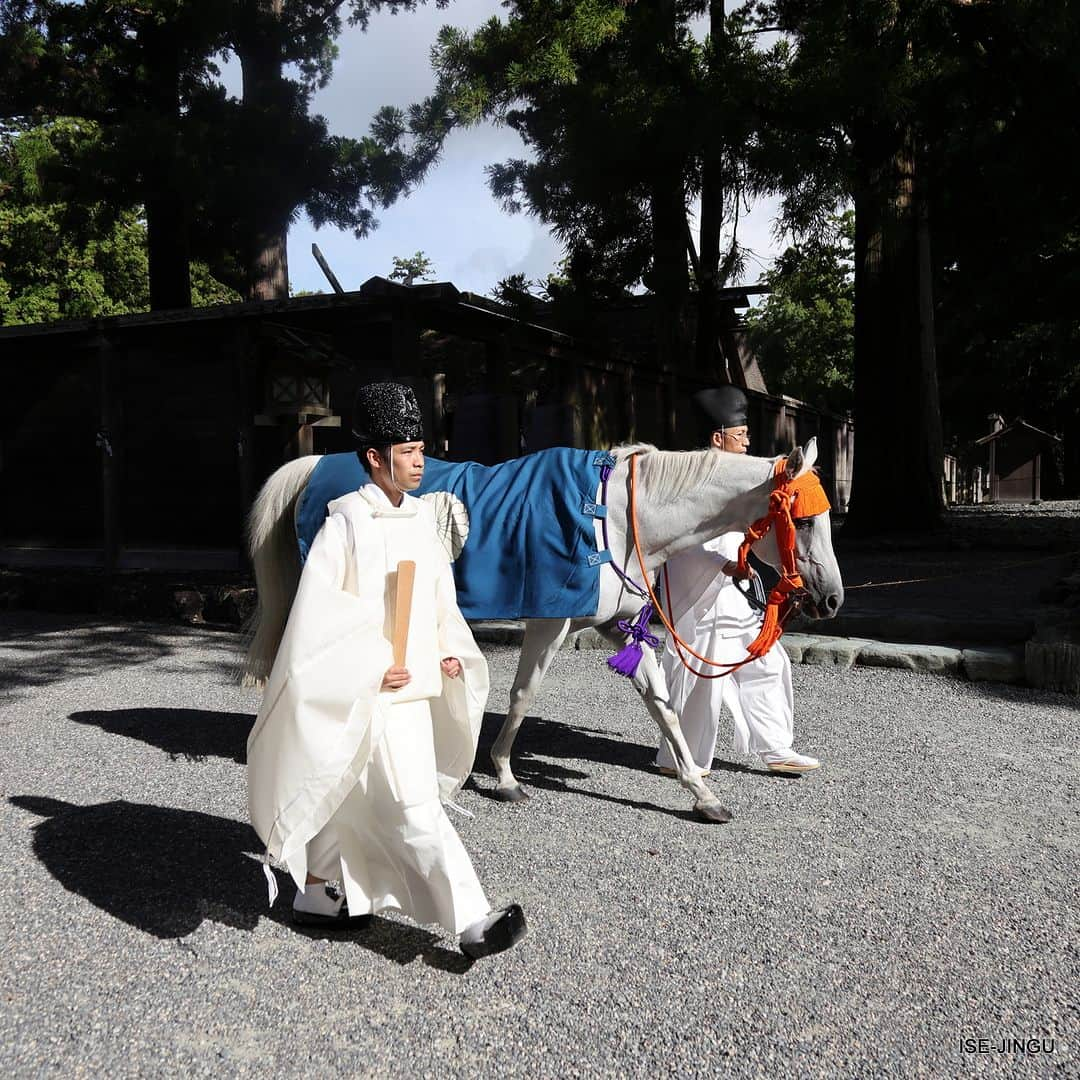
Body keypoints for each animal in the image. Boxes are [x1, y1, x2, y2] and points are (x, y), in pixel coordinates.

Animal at [243, 438, 842, 825]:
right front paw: (506, 777)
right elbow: (523, 693)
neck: (612, 518)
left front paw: (701, 792)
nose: (832, 598)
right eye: (805, 520)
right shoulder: (550, 620)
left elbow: (663, 705)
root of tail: (315, 467)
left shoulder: (617, 624)